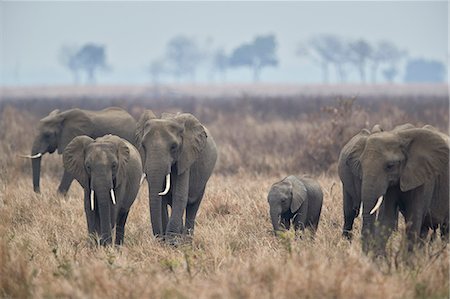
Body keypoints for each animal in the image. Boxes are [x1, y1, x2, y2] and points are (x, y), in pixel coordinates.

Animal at [134, 111, 217, 243]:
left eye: (173, 147)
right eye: (143, 146)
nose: (159, 238)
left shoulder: (186, 155)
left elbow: (180, 195)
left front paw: (172, 242)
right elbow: (161, 198)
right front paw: (166, 242)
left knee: (193, 206)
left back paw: (187, 241)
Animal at [346, 127, 448, 255]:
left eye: (390, 166)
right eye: (360, 165)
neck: (400, 136)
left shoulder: (425, 179)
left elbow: (414, 220)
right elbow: (387, 220)